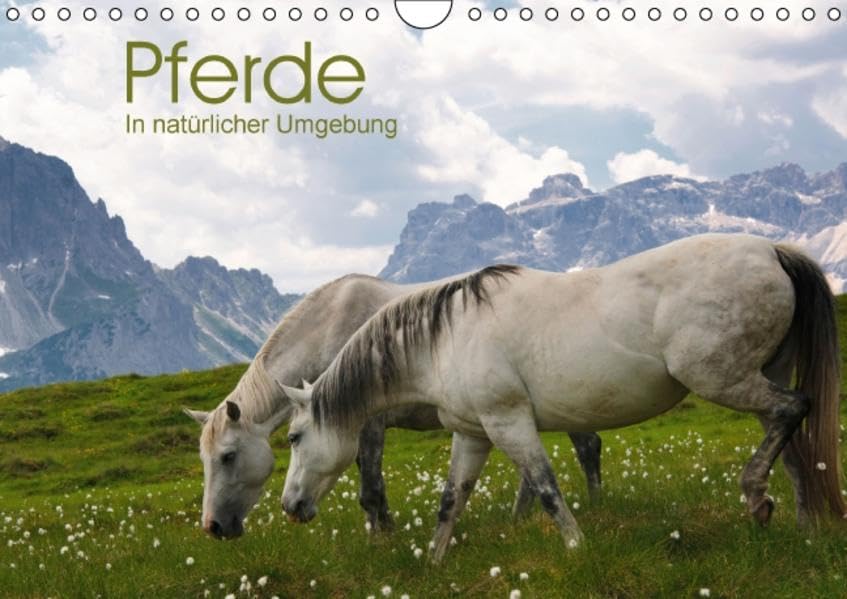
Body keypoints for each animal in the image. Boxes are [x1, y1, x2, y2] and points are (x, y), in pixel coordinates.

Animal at [183, 272, 603, 539]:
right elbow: (375, 489)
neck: (333, 331)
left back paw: (597, 507)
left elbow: (370, 489)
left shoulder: (368, 426)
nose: (213, 527)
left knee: (587, 447)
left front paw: (380, 542)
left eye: (228, 456)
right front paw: (385, 530)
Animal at [280, 233, 845, 562]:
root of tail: (771, 251)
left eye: (294, 437)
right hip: (758, 375)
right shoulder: (473, 434)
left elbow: (546, 487)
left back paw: (755, 495)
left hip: (722, 379)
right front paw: (434, 563)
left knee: (794, 408)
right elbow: (450, 500)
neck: (446, 337)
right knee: (792, 446)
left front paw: (577, 548)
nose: (290, 506)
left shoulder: (509, 422)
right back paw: (801, 527)